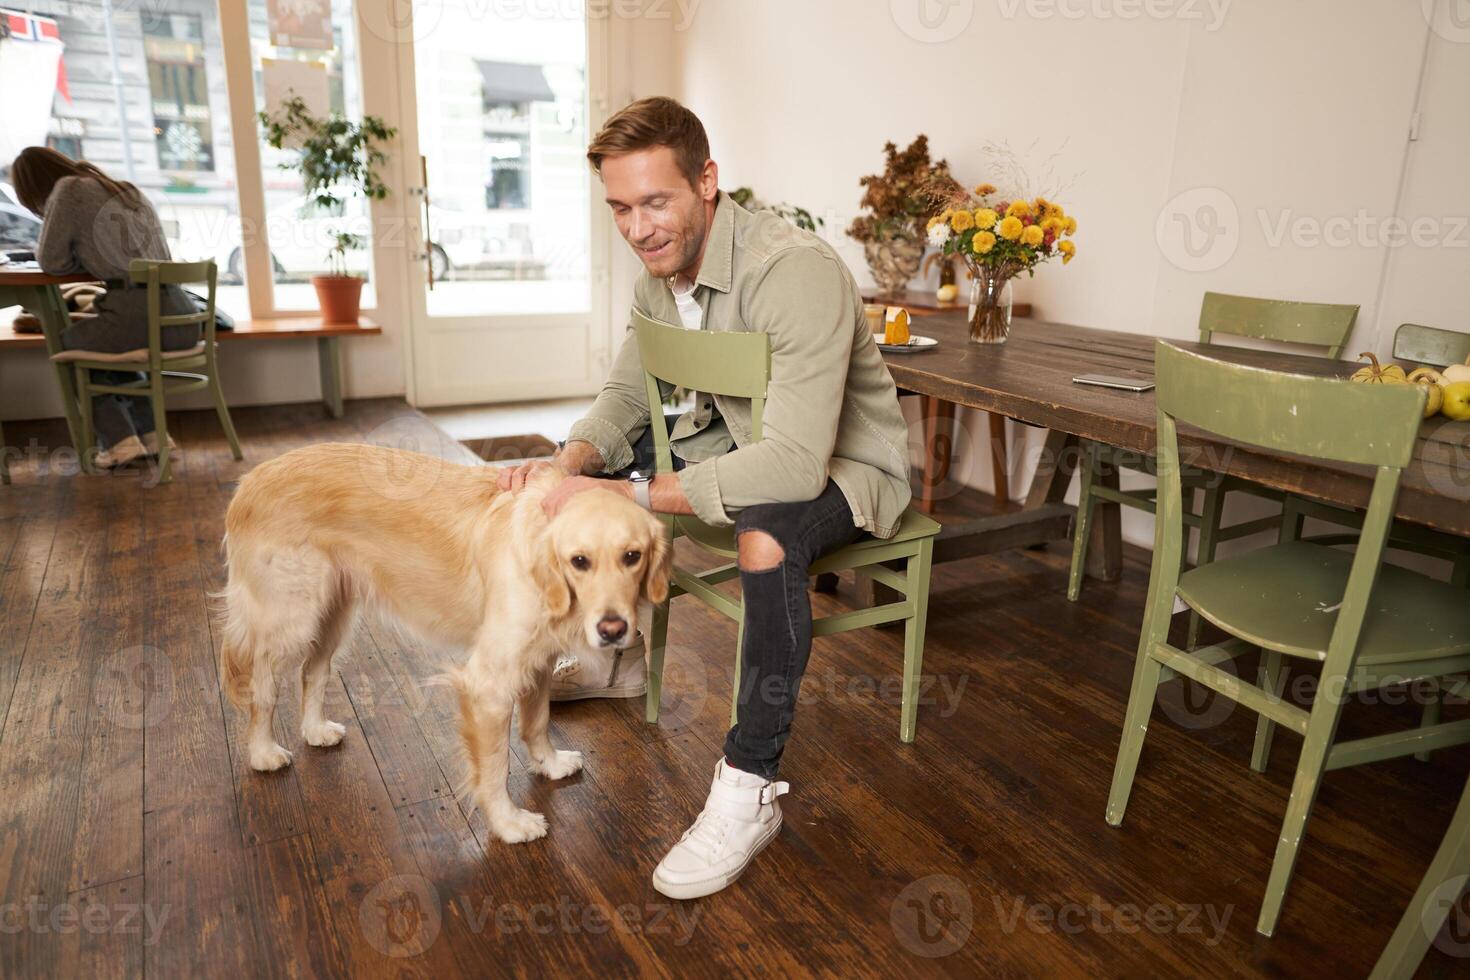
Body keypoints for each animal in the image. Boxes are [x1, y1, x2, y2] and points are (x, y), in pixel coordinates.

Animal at [217, 443, 673, 846]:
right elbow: (494, 766)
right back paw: (262, 752)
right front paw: (509, 824)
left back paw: (314, 730)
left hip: (333, 613)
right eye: (580, 561)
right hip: (291, 617)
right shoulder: (488, 685)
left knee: (313, 670)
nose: (613, 629)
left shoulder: (538, 660)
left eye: (632, 556)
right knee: (262, 687)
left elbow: (537, 722)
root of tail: (251, 479)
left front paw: (551, 763)